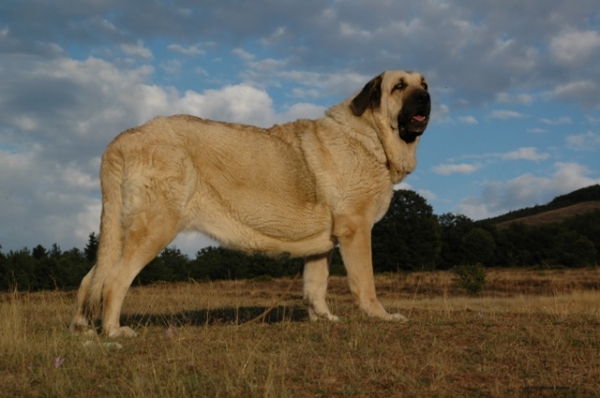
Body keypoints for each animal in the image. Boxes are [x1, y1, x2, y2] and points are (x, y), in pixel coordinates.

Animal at [70, 70, 432, 336]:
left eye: (424, 84)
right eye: (399, 86)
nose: (425, 97)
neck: (371, 136)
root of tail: (124, 139)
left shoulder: (322, 246)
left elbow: (315, 287)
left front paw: (324, 319)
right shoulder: (356, 230)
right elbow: (365, 283)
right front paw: (381, 316)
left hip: (120, 231)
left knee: (91, 280)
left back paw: (83, 329)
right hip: (155, 227)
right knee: (114, 281)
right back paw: (114, 332)